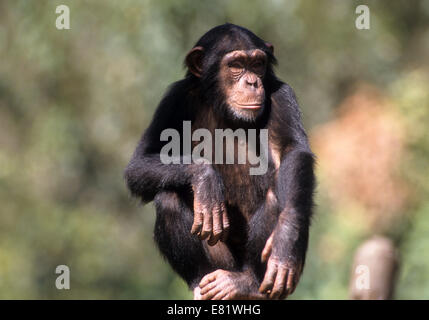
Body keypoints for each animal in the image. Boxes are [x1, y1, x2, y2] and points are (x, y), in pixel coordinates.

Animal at [123, 23, 314, 300]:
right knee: (168, 196)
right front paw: (205, 179)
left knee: (276, 197)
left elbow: (292, 153)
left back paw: (248, 284)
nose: (252, 81)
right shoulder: (175, 98)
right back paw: (201, 283)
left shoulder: (282, 95)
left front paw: (286, 241)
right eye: (236, 65)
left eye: (257, 64)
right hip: (221, 262)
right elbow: (140, 162)